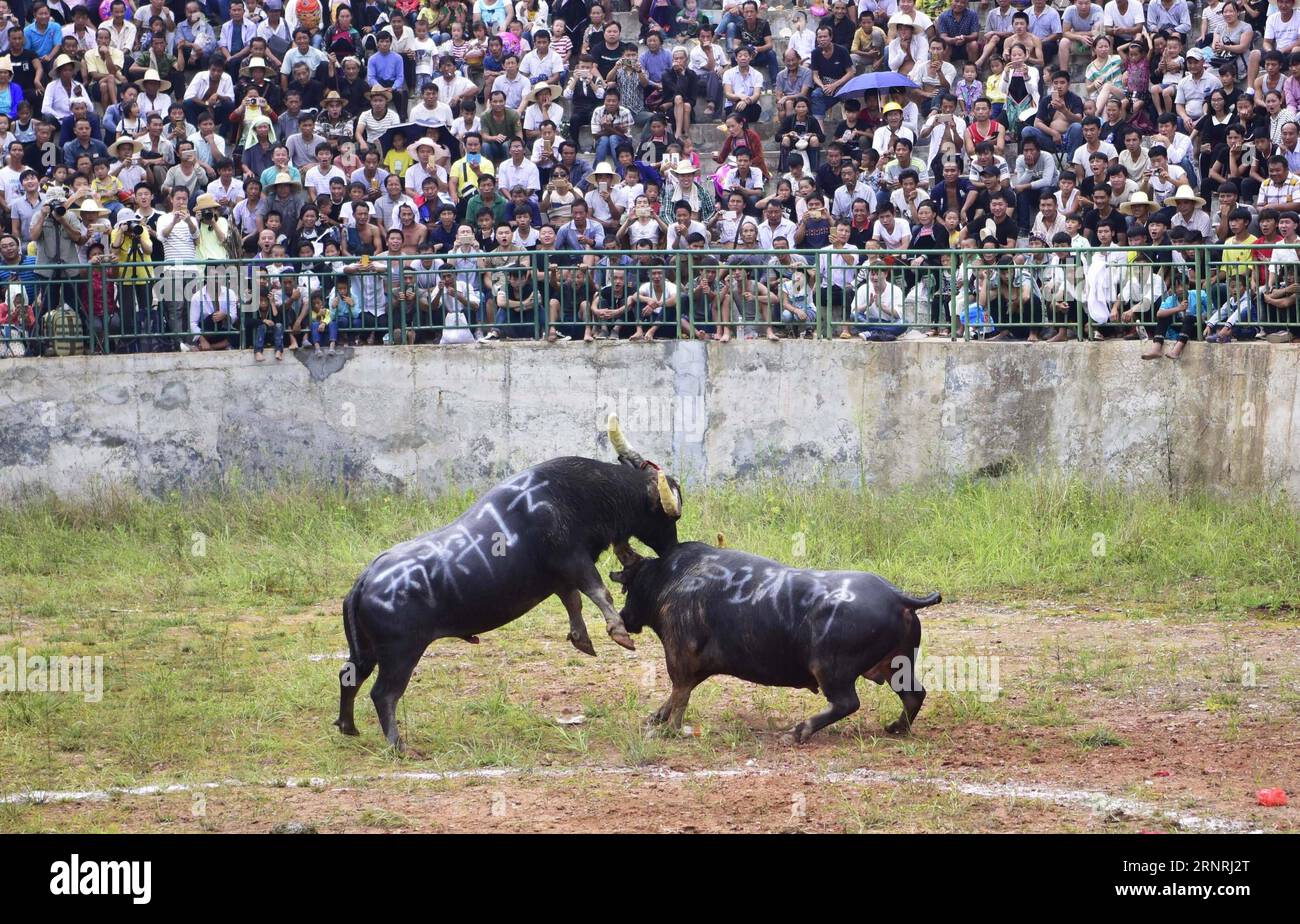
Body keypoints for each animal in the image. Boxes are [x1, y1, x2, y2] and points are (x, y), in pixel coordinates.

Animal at [340, 418, 686, 753]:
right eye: (666, 516)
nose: (673, 547)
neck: (577, 495)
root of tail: (365, 580)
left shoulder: (560, 578)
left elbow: (573, 601)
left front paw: (582, 639)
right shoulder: (573, 561)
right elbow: (597, 591)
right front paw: (619, 633)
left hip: (366, 651)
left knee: (349, 676)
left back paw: (348, 727)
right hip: (400, 654)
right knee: (383, 694)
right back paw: (396, 744)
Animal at [608, 543, 946, 743]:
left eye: (628, 587)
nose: (624, 617)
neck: (674, 578)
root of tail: (897, 596)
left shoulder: (680, 655)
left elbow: (680, 693)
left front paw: (669, 729)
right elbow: (678, 693)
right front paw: (656, 718)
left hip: (829, 668)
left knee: (847, 702)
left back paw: (798, 731)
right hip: (896, 667)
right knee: (914, 695)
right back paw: (896, 727)